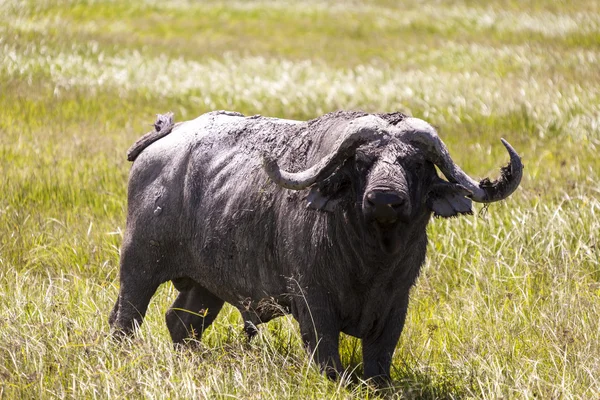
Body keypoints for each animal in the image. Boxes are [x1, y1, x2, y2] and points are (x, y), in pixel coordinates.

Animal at [109, 108, 520, 382]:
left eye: (417, 164)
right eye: (362, 161)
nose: (385, 200)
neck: (370, 263)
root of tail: (167, 137)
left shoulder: (396, 304)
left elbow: (380, 359)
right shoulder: (313, 301)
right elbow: (326, 355)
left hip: (205, 285)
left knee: (182, 322)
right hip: (139, 267)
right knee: (124, 319)